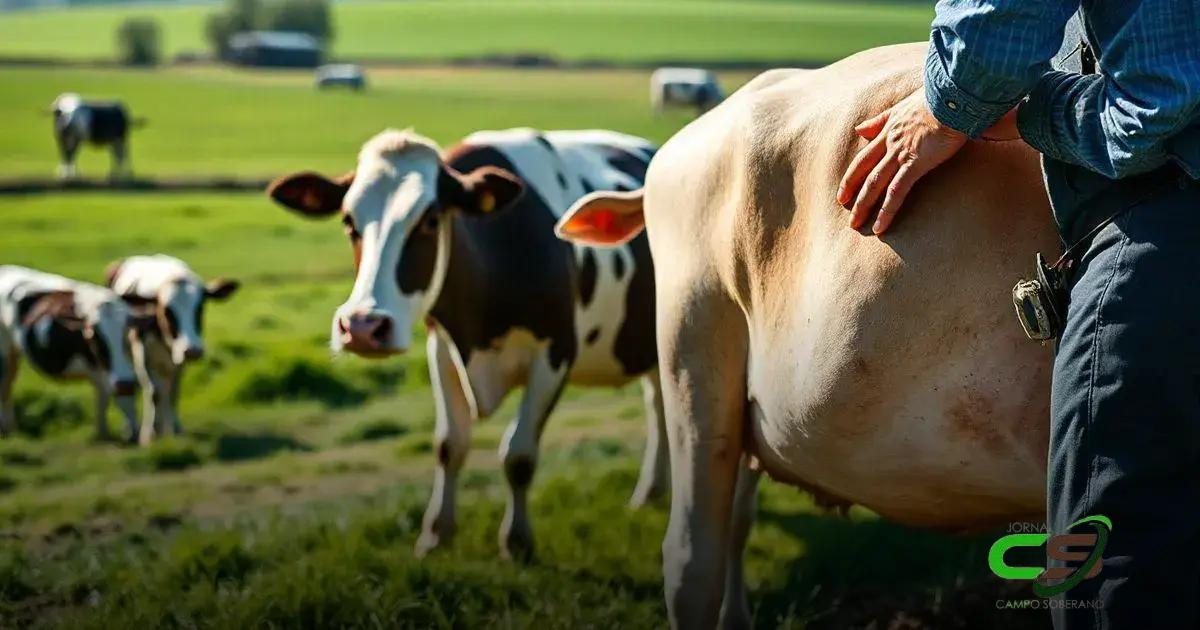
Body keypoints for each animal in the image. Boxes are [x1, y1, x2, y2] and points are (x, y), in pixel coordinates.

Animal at [0, 266, 144, 441]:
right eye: (94, 336)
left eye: (128, 330)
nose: (125, 382)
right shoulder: (104, 373)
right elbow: (114, 399)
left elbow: (109, 401)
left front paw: (112, 434)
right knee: (4, 386)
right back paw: (6, 430)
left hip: (13, 352)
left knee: (8, 384)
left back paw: (10, 428)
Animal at [105, 255, 240, 444]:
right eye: (167, 311)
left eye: (200, 308)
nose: (193, 350)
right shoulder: (142, 355)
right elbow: (153, 393)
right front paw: (150, 434)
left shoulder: (179, 361)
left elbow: (174, 393)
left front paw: (175, 429)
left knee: (165, 388)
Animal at [267, 127, 667, 560]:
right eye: (348, 220)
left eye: (429, 219)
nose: (361, 326)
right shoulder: (442, 347)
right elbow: (449, 444)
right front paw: (435, 534)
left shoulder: (556, 351)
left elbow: (519, 453)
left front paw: (516, 542)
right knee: (660, 404)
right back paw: (650, 493)